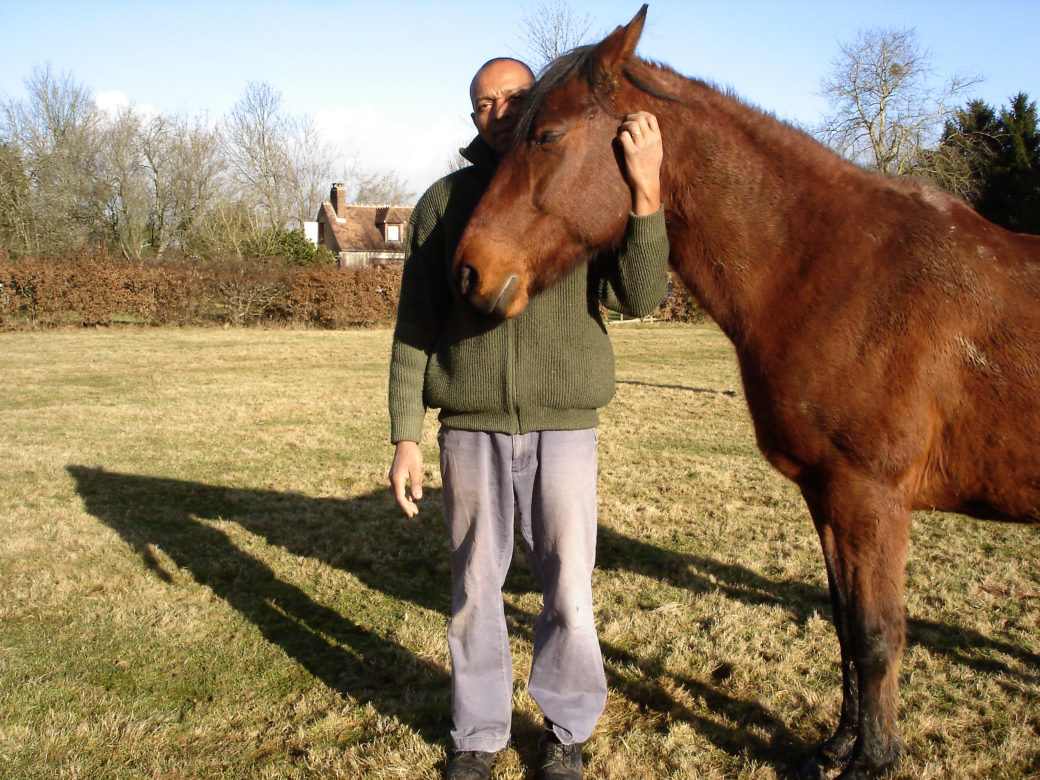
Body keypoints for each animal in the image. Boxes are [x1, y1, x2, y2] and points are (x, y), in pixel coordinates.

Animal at [453, 6, 1040, 780]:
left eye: (547, 135)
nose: (467, 272)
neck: (835, 269)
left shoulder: (871, 496)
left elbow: (877, 634)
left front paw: (874, 761)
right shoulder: (828, 495)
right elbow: (846, 629)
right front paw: (836, 750)